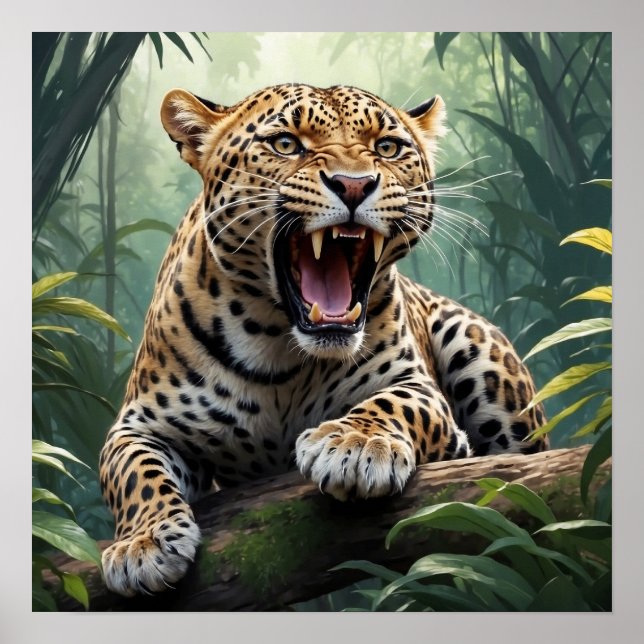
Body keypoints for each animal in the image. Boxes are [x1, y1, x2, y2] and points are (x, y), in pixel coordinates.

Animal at [98, 83, 547, 597]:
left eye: (386, 148)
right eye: (286, 144)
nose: (353, 185)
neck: (278, 347)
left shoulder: (418, 388)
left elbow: (392, 404)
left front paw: (356, 445)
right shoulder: (140, 423)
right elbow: (134, 472)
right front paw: (143, 543)